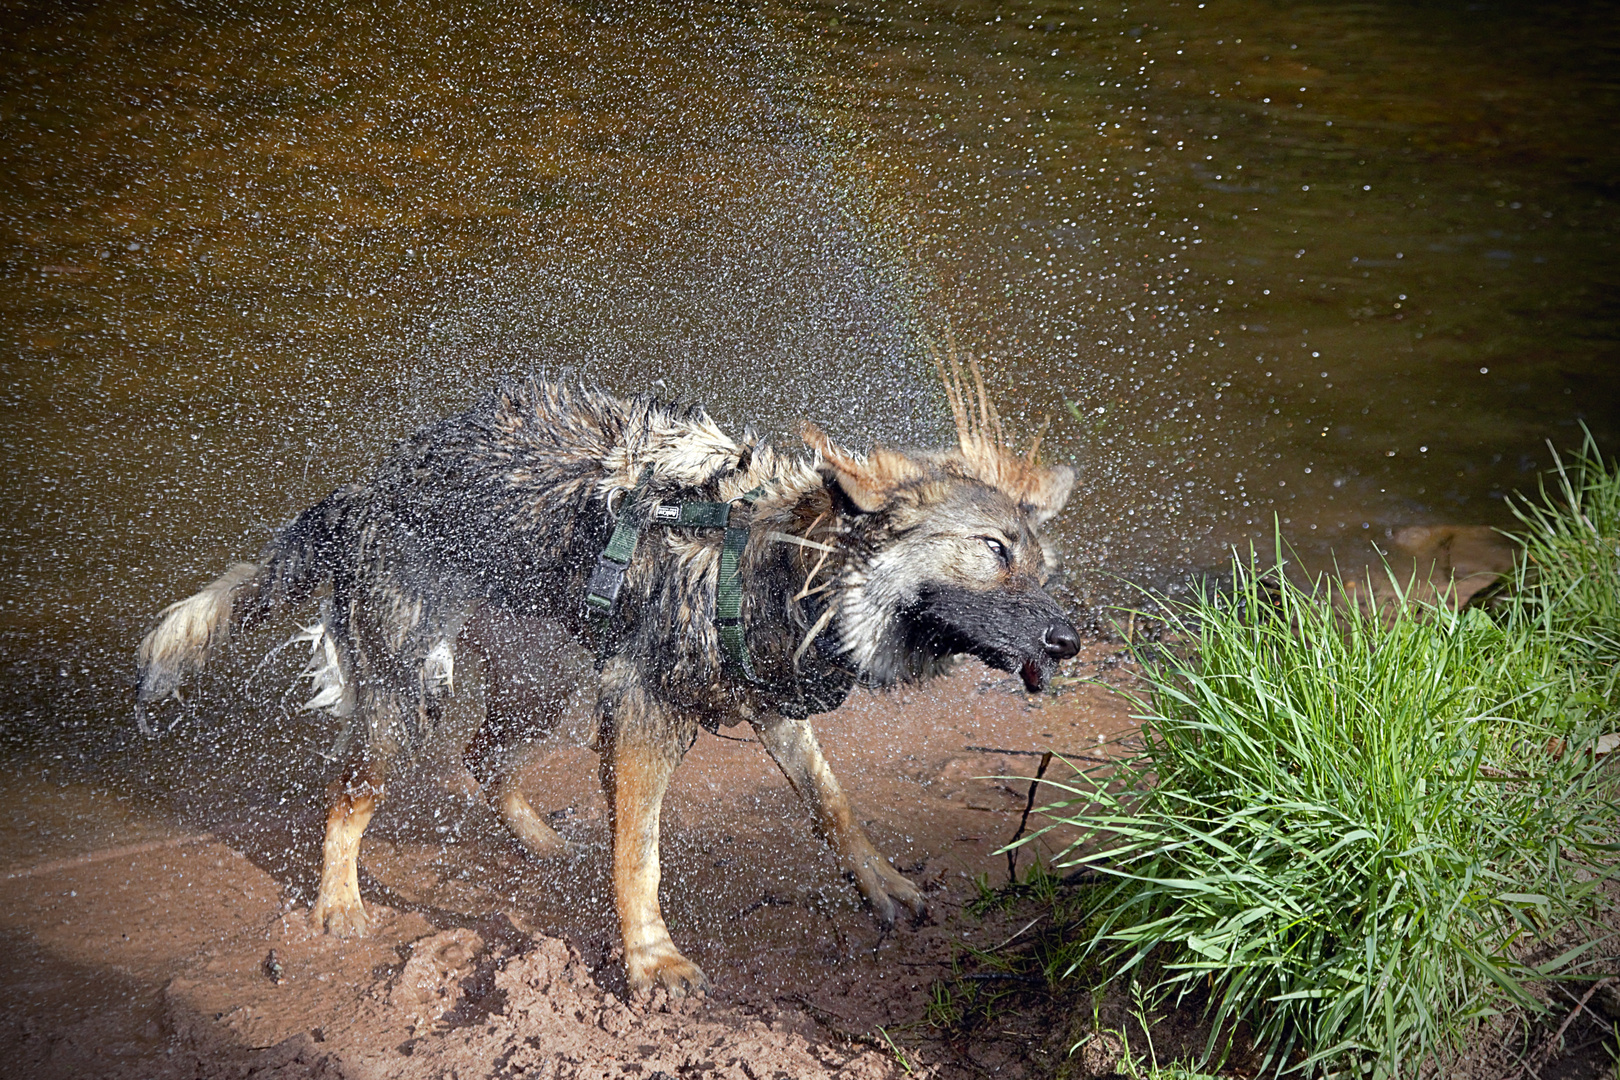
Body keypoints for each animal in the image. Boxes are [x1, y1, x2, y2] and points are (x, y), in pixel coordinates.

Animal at [136, 365, 1075, 997]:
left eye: (1040, 561)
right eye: (992, 550)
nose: (1071, 640)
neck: (781, 559)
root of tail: (367, 488)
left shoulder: (767, 704)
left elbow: (832, 804)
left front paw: (882, 884)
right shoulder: (644, 713)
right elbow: (641, 855)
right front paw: (652, 959)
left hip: (542, 685)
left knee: (480, 760)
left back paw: (544, 844)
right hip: (402, 699)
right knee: (349, 797)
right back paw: (337, 904)